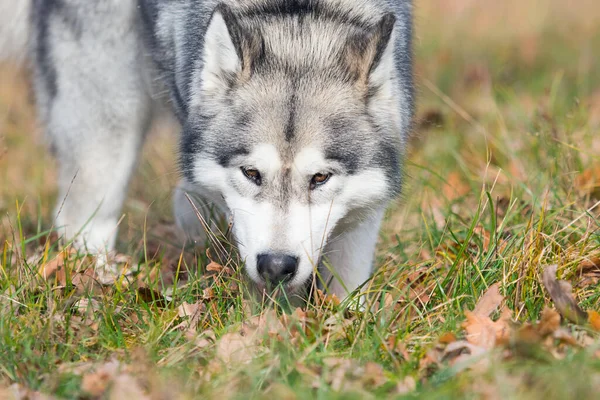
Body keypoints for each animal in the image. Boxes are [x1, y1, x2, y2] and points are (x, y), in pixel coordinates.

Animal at [0, 0, 412, 300]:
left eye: (320, 178)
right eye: (251, 173)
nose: (276, 265)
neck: (297, 21)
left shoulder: (363, 211)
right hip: (109, 127)